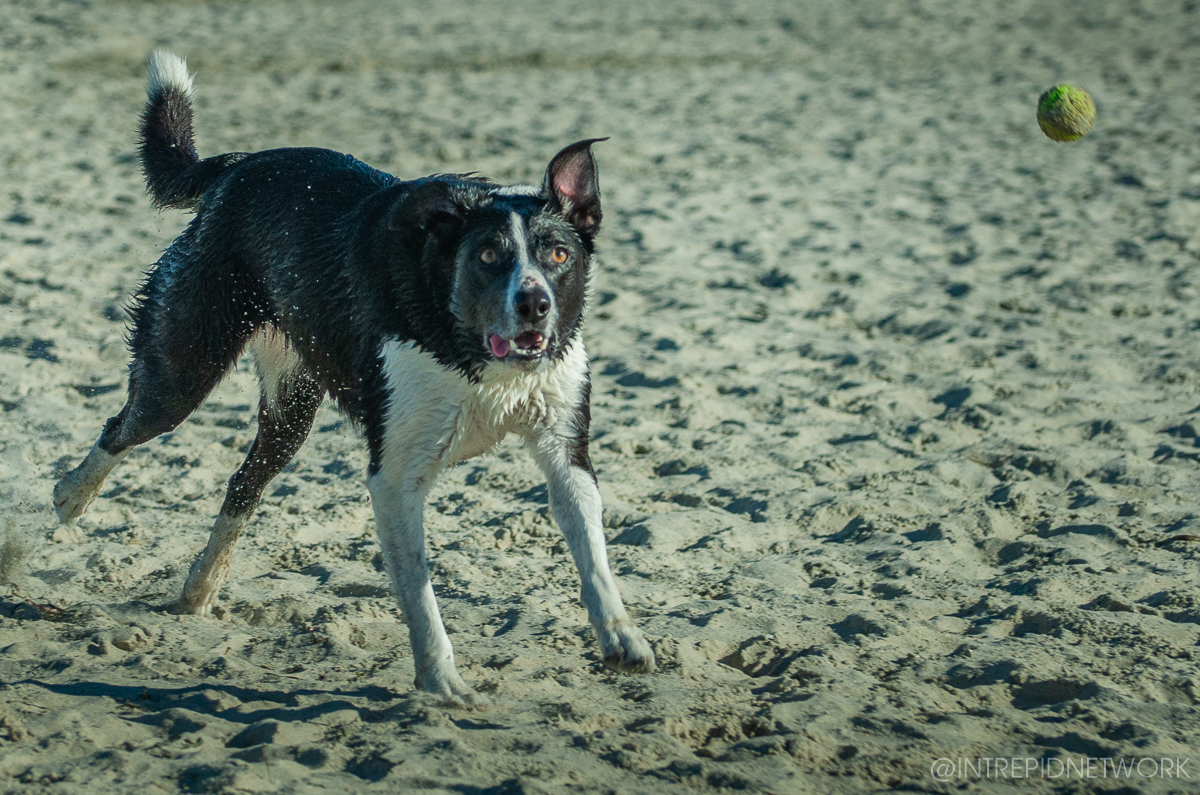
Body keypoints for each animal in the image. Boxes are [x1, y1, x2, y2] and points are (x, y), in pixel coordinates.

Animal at [51, 49, 657, 706]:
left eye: (559, 255)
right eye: (490, 256)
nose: (535, 304)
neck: (472, 349)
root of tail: (238, 167)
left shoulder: (565, 449)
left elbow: (592, 554)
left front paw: (622, 639)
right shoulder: (394, 477)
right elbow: (419, 591)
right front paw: (442, 681)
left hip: (290, 410)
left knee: (243, 483)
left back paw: (199, 589)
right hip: (184, 366)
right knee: (124, 427)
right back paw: (68, 499)